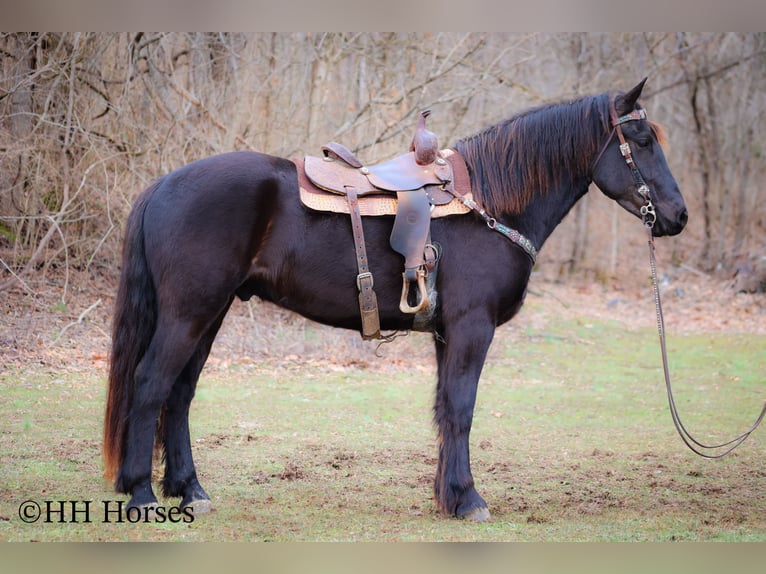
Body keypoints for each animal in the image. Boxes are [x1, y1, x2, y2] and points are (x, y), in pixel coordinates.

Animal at [103, 79, 688, 524]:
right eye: (640, 139)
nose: (678, 216)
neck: (490, 202)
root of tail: (162, 185)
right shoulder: (473, 328)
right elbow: (461, 407)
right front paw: (469, 499)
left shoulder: (449, 332)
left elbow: (445, 409)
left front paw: (448, 496)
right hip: (190, 312)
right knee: (151, 384)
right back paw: (141, 493)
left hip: (210, 313)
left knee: (179, 394)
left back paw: (190, 490)